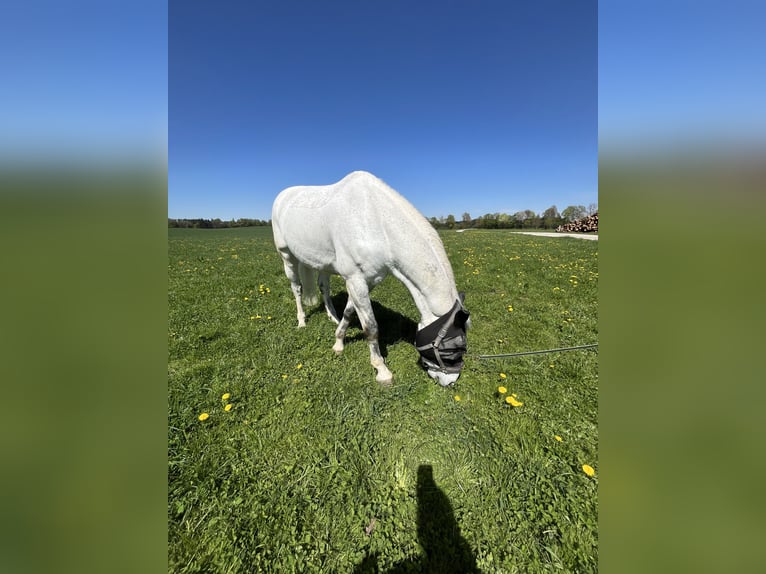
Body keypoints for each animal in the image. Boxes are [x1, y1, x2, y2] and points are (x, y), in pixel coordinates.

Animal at [271, 170, 470, 386]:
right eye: (452, 348)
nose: (450, 381)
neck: (374, 220)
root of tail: (283, 195)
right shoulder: (355, 279)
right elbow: (371, 328)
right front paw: (382, 370)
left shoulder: (368, 280)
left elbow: (349, 312)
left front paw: (338, 342)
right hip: (287, 256)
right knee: (297, 288)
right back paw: (301, 321)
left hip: (323, 262)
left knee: (323, 286)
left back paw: (332, 316)